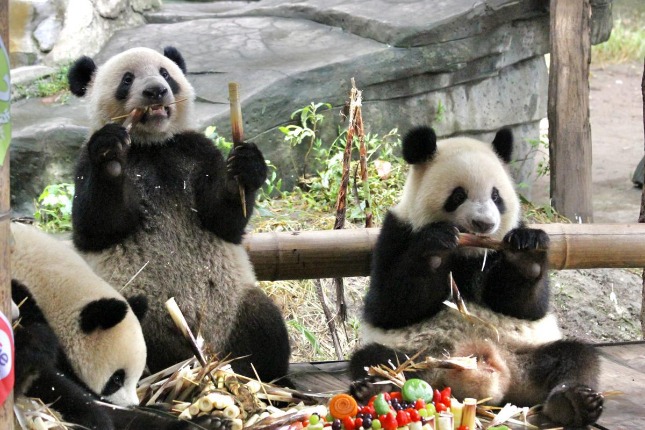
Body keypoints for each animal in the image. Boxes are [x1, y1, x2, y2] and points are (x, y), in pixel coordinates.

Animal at [66, 46, 291, 382]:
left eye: (165, 73)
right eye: (127, 79)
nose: (155, 91)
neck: (152, 144)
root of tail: (200, 353)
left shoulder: (194, 150)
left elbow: (223, 221)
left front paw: (245, 167)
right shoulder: (85, 161)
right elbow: (94, 227)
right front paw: (111, 156)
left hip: (234, 306)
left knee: (264, 324)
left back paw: (264, 374)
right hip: (132, 314)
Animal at [349, 126, 604, 427]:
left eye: (496, 196)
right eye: (458, 195)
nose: (484, 223)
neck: (470, 251)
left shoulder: (502, 246)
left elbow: (525, 307)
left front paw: (527, 253)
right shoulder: (397, 232)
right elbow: (387, 307)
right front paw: (436, 246)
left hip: (526, 354)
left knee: (577, 357)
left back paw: (574, 402)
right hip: (421, 357)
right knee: (375, 360)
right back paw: (372, 389)